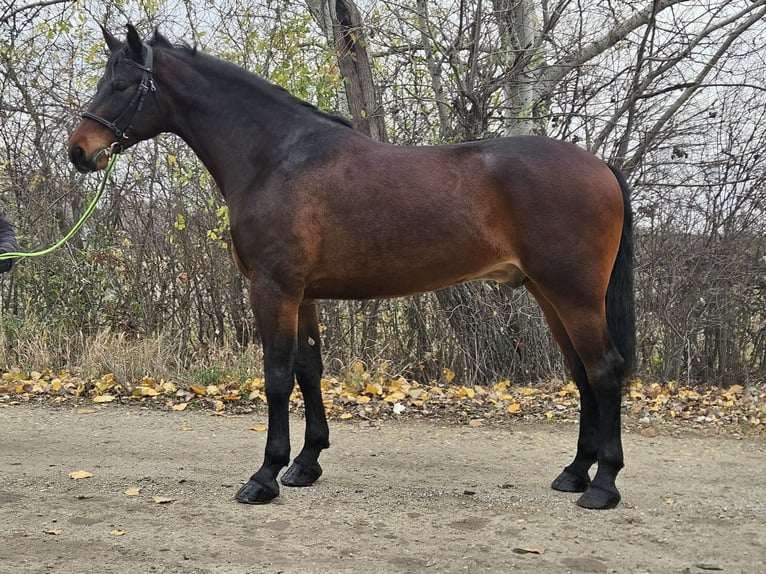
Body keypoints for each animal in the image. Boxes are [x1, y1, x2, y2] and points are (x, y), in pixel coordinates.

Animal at [68, 25, 635, 510]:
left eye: (121, 83)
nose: (79, 151)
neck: (277, 159)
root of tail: (600, 166)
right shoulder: (303, 295)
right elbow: (308, 370)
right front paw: (305, 464)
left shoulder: (273, 289)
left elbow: (277, 376)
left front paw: (265, 476)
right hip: (547, 293)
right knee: (582, 374)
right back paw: (574, 472)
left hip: (574, 295)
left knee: (604, 371)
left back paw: (603, 485)